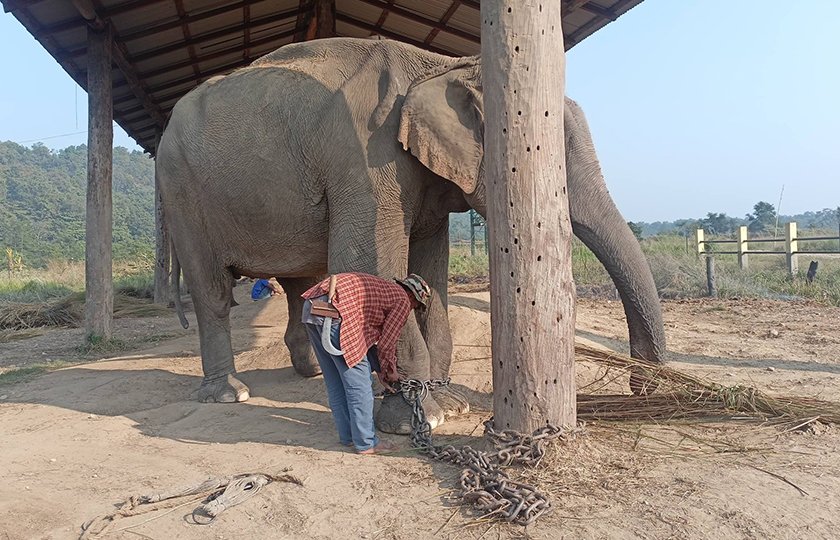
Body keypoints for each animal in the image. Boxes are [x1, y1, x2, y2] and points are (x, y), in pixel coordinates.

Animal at [156, 37, 666, 434]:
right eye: (549, 162)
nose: (642, 384)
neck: (441, 65)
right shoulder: (367, 160)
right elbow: (369, 265)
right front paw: (420, 419)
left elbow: (430, 275)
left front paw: (448, 404)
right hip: (183, 195)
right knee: (212, 292)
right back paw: (229, 394)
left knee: (300, 285)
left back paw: (311, 374)